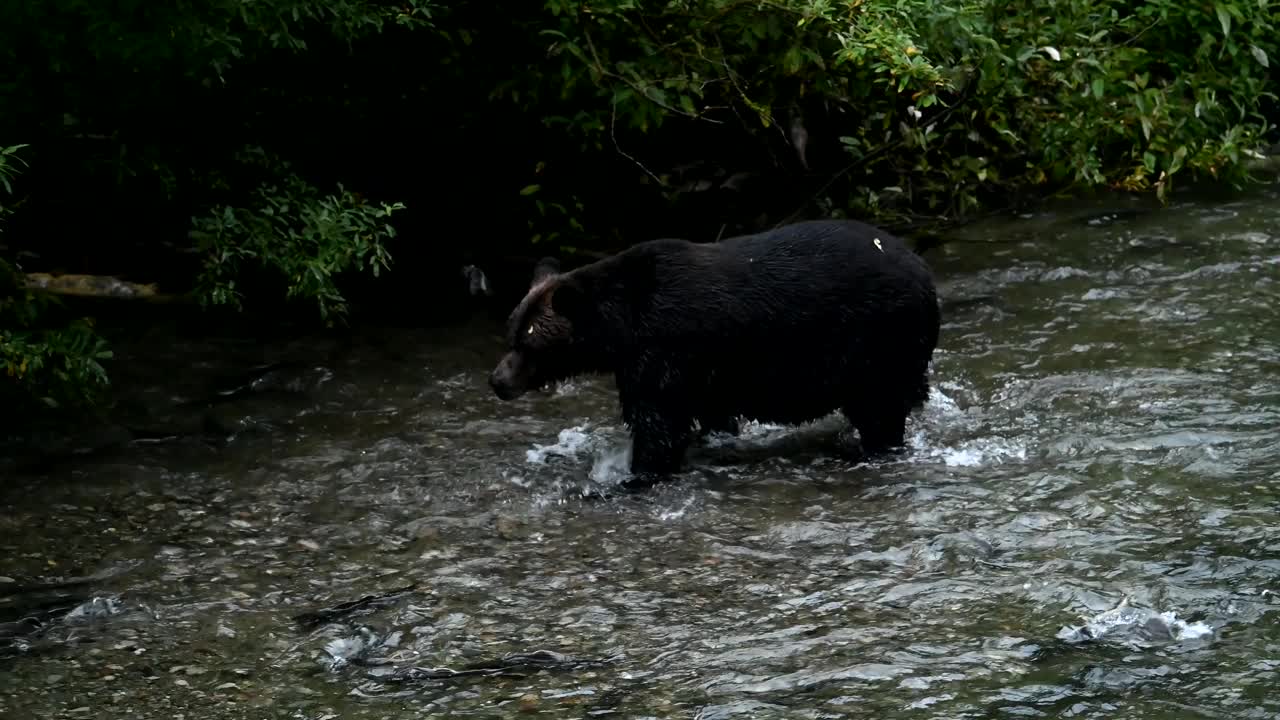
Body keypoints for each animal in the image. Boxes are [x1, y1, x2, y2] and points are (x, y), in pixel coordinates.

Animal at [486, 219, 942, 486]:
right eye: (511, 333)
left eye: (528, 342)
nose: (497, 380)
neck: (622, 327)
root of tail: (924, 271)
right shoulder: (705, 372)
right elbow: (711, 415)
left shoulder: (666, 350)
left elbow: (657, 423)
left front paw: (632, 477)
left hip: (879, 340)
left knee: (880, 408)